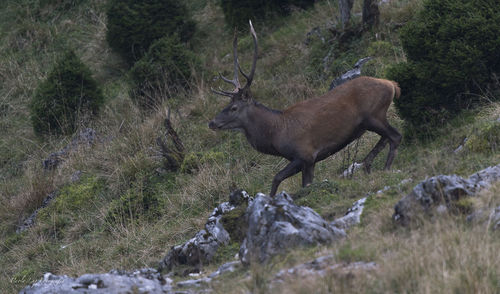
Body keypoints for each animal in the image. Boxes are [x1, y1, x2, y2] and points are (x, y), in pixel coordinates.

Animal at [208, 21, 402, 198]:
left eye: (234, 107)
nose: (212, 122)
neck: (276, 132)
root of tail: (391, 84)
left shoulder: (305, 154)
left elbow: (278, 178)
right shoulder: (309, 161)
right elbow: (303, 183)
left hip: (373, 115)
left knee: (395, 135)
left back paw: (385, 168)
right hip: (374, 118)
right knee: (386, 137)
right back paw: (368, 165)